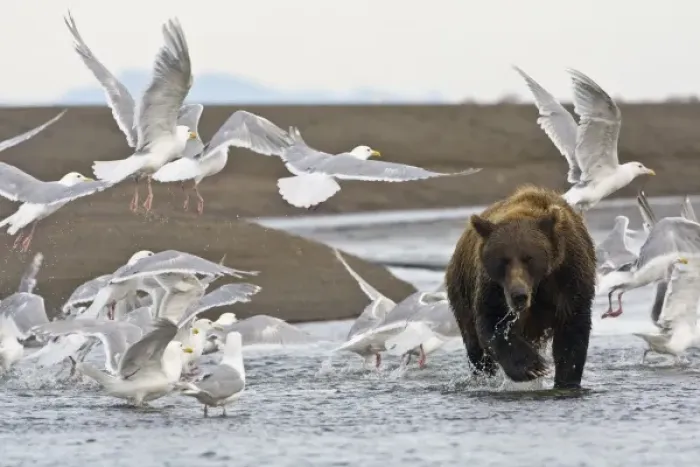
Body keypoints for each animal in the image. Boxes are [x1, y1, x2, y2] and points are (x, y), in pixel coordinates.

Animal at [445, 185, 596, 389]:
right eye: (503, 260)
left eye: (528, 258)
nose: (519, 295)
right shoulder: (494, 288)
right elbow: (492, 323)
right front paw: (533, 367)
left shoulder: (569, 277)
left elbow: (572, 331)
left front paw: (567, 381)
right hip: (461, 292)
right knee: (476, 348)